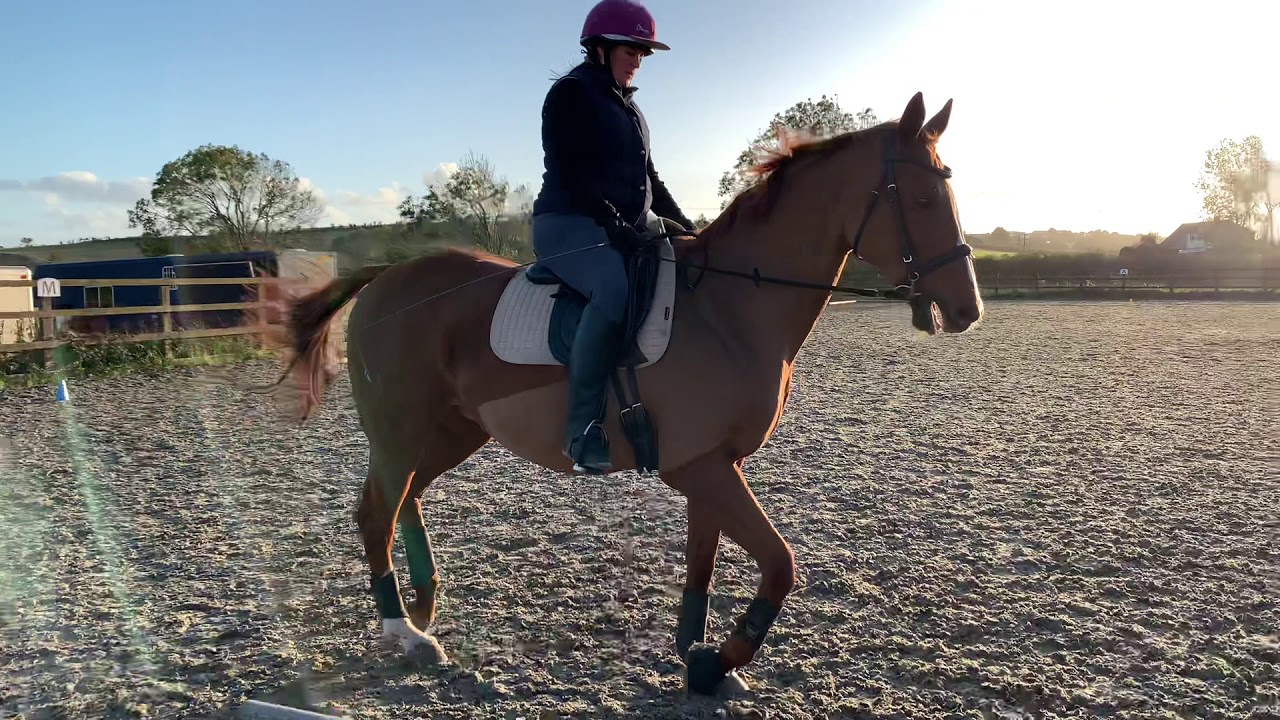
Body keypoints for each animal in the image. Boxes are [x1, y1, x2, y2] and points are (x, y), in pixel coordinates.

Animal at [270, 92, 983, 691]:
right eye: (921, 202)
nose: (966, 309)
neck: (730, 306)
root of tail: (386, 278)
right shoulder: (699, 466)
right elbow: (780, 564)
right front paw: (723, 659)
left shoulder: (712, 464)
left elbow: (703, 565)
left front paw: (698, 655)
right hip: (402, 431)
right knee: (377, 512)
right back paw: (405, 634)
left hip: (452, 430)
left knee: (405, 500)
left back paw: (423, 606)